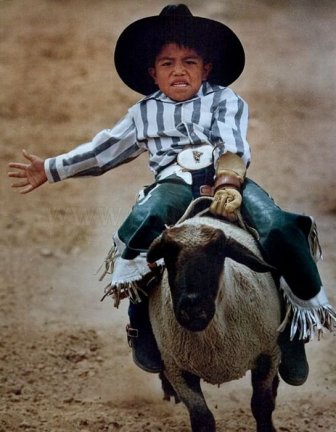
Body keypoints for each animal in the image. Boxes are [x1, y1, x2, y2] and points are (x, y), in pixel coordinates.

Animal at [148, 215, 282, 432]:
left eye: (219, 251)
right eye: (167, 254)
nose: (192, 307)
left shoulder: (268, 353)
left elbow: (262, 406)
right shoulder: (177, 369)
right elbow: (202, 418)